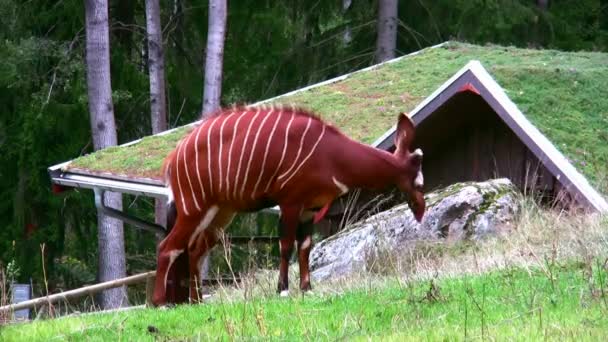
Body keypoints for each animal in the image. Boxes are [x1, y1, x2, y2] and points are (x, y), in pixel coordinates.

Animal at [154, 105, 426, 306]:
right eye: (419, 183)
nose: (421, 211)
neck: (332, 155)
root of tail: (173, 158)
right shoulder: (290, 203)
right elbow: (285, 246)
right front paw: (283, 290)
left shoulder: (309, 209)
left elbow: (305, 246)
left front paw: (307, 288)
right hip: (193, 208)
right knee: (167, 247)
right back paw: (161, 303)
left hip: (220, 213)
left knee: (195, 249)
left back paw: (197, 300)